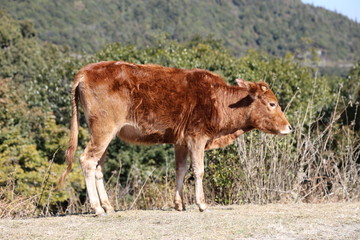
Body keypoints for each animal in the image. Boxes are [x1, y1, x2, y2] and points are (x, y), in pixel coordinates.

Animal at [57, 60, 292, 216]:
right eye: (272, 103)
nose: (289, 127)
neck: (220, 100)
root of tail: (85, 71)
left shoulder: (181, 141)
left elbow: (181, 169)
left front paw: (179, 203)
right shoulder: (197, 137)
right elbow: (198, 170)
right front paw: (201, 204)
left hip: (104, 133)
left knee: (98, 166)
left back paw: (107, 205)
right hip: (103, 130)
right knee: (87, 160)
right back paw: (97, 207)